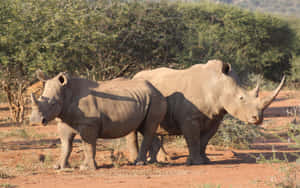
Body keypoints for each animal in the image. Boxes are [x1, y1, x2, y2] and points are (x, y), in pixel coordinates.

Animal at [30, 71, 166, 170]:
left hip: (155, 99)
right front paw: (59, 167)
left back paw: (140, 163)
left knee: (148, 128)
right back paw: (152, 162)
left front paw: (86, 168)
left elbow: (88, 145)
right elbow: (66, 144)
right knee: (144, 128)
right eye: (40, 97)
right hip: (145, 99)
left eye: (53, 104)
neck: (67, 92)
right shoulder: (64, 120)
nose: (35, 122)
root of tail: (157, 90)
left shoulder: (89, 124)